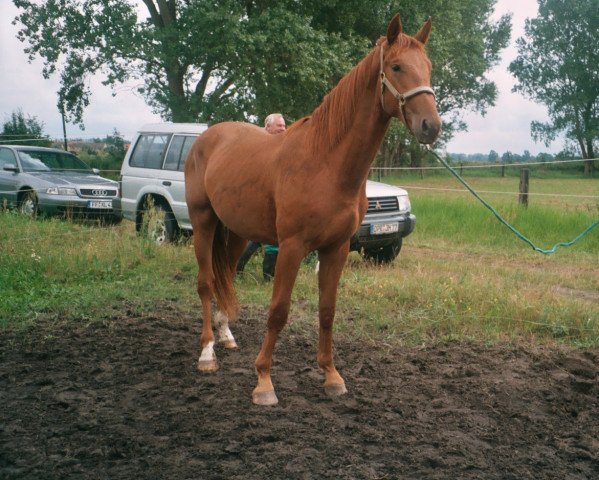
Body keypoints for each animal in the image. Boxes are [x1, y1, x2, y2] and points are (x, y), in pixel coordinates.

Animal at [185, 14, 442, 404]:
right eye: (397, 67)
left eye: (428, 68)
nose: (431, 126)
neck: (326, 163)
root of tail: (206, 138)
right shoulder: (292, 247)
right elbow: (278, 311)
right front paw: (263, 381)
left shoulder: (336, 248)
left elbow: (327, 311)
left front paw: (331, 375)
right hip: (203, 222)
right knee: (205, 283)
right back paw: (207, 353)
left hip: (236, 232)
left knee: (225, 275)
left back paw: (226, 335)